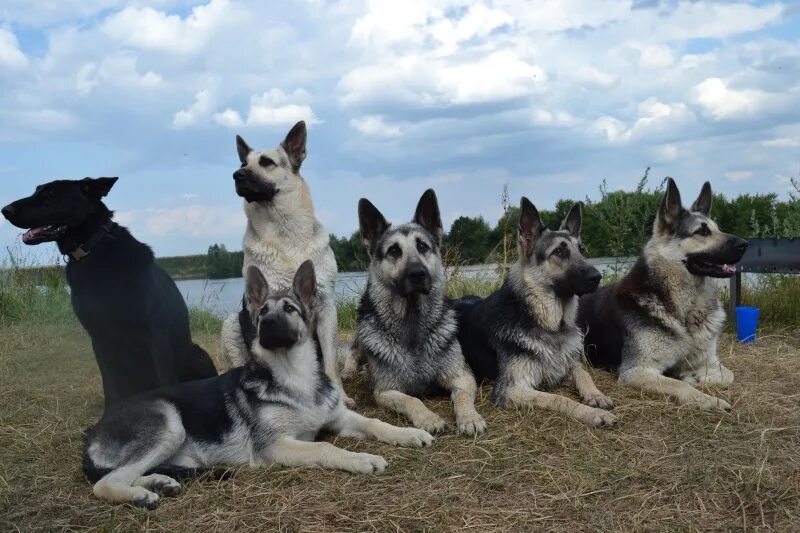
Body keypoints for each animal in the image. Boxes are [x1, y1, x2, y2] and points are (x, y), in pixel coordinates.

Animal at [2, 178, 219, 404]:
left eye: (50, 193)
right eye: (37, 191)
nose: (5, 210)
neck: (92, 251)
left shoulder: (156, 334)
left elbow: (165, 380)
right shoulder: (99, 337)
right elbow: (110, 386)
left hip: (197, 354)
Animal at [219, 120, 350, 404]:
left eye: (266, 162)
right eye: (243, 163)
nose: (237, 175)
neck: (286, 236)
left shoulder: (327, 307)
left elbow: (331, 363)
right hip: (231, 325)